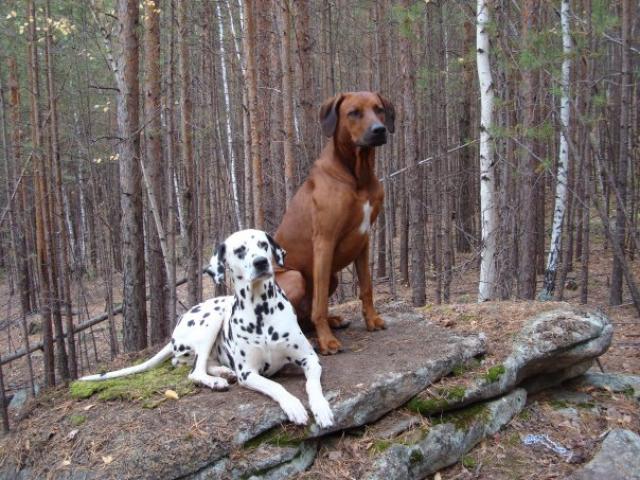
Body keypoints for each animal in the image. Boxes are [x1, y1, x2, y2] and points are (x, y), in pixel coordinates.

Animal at [80, 229, 336, 428]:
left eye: (263, 245)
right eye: (240, 250)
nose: (261, 262)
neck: (260, 311)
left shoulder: (310, 358)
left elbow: (313, 385)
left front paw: (322, 409)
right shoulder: (248, 373)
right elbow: (276, 386)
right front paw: (293, 405)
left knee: (197, 364)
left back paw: (223, 371)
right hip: (211, 320)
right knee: (194, 370)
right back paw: (216, 380)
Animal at [276, 91, 396, 352]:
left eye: (379, 109)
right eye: (354, 113)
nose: (379, 130)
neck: (358, 175)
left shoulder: (364, 240)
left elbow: (367, 286)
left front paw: (372, 320)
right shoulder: (325, 241)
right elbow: (320, 303)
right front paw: (327, 340)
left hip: (332, 277)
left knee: (304, 318)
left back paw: (333, 320)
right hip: (295, 277)